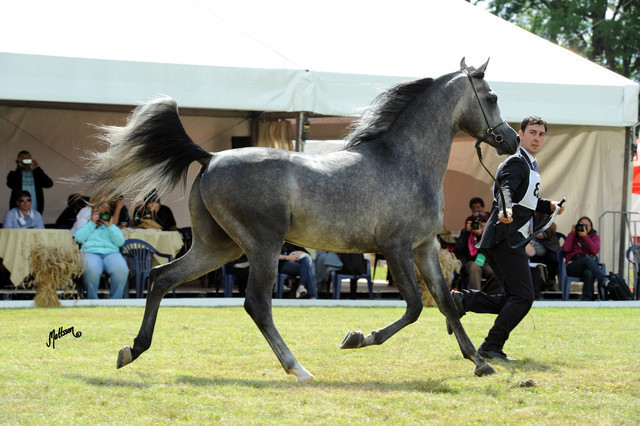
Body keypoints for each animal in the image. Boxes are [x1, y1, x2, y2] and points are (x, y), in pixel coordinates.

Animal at [84, 58, 519, 380]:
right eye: (492, 96)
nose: (512, 140)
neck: (405, 162)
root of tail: (211, 157)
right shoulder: (395, 248)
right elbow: (414, 307)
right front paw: (357, 338)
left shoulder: (424, 247)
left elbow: (446, 303)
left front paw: (480, 363)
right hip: (262, 245)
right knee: (257, 304)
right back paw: (298, 368)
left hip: (217, 247)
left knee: (161, 278)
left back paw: (132, 350)